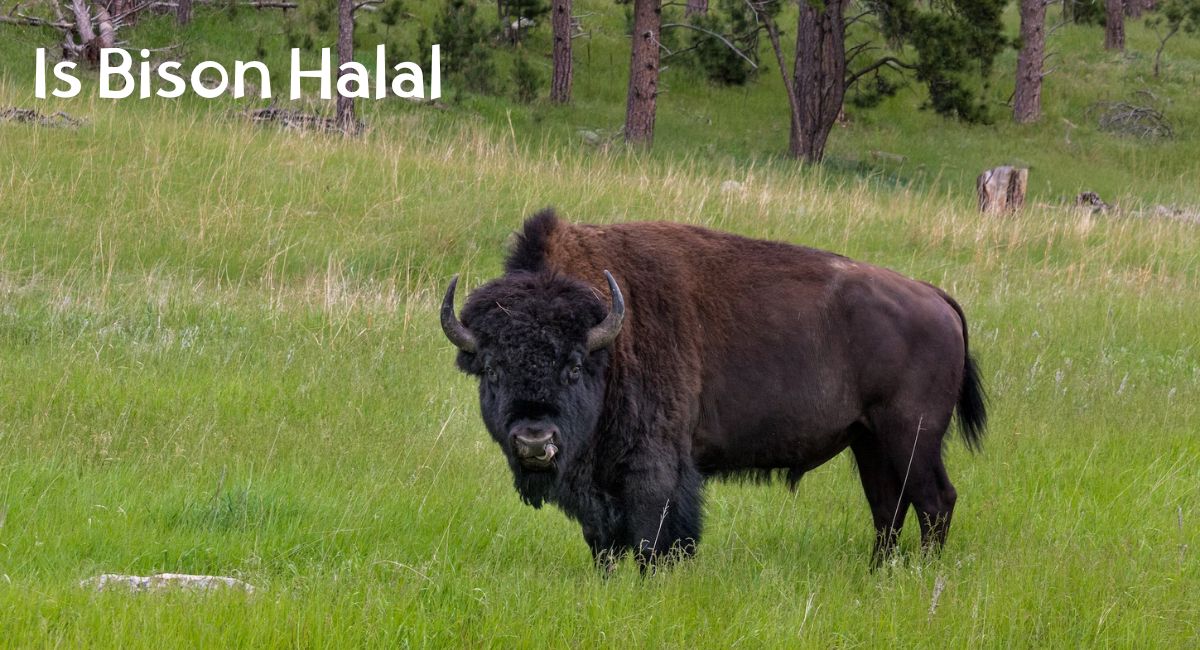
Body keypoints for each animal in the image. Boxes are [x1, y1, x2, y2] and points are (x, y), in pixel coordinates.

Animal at [441, 210, 986, 567]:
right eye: (492, 368)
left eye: (574, 366)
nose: (534, 441)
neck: (609, 339)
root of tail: (934, 296)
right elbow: (604, 543)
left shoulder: (655, 467)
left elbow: (654, 536)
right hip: (868, 440)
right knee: (888, 507)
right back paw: (878, 574)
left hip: (912, 436)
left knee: (935, 502)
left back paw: (921, 575)